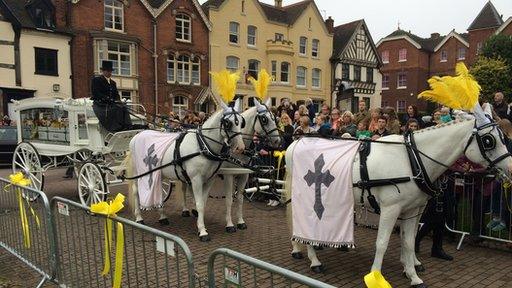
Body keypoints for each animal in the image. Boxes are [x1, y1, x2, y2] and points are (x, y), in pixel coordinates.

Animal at [128, 98, 248, 242]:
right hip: (138, 173)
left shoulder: (209, 179)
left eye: (241, 122)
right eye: (228, 123)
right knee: (135, 192)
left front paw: (200, 224)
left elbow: (203, 202)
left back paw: (162, 217)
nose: (240, 148)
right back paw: (139, 218)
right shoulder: (196, 180)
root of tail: (138, 135)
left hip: (158, 174)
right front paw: (203, 232)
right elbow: (199, 203)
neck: (202, 145)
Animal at [180, 98, 282, 232]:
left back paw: (195, 211)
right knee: (184, 188)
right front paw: (229, 224)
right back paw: (185, 210)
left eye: (275, 118)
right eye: (264, 119)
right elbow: (229, 200)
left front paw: (241, 222)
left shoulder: (244, 176)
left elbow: (239, 199)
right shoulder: (229, 175)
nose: (277, 141)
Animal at [284, 104, 512, 286]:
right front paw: (375, 276)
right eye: (489, 140)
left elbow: (408, 241)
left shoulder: (413, 210)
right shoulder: (390, 209)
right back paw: (313, 259)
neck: (413, 159)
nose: (510, 167)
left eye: (503, 137)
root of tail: (295, 143)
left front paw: (413, 274)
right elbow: (382, 243)